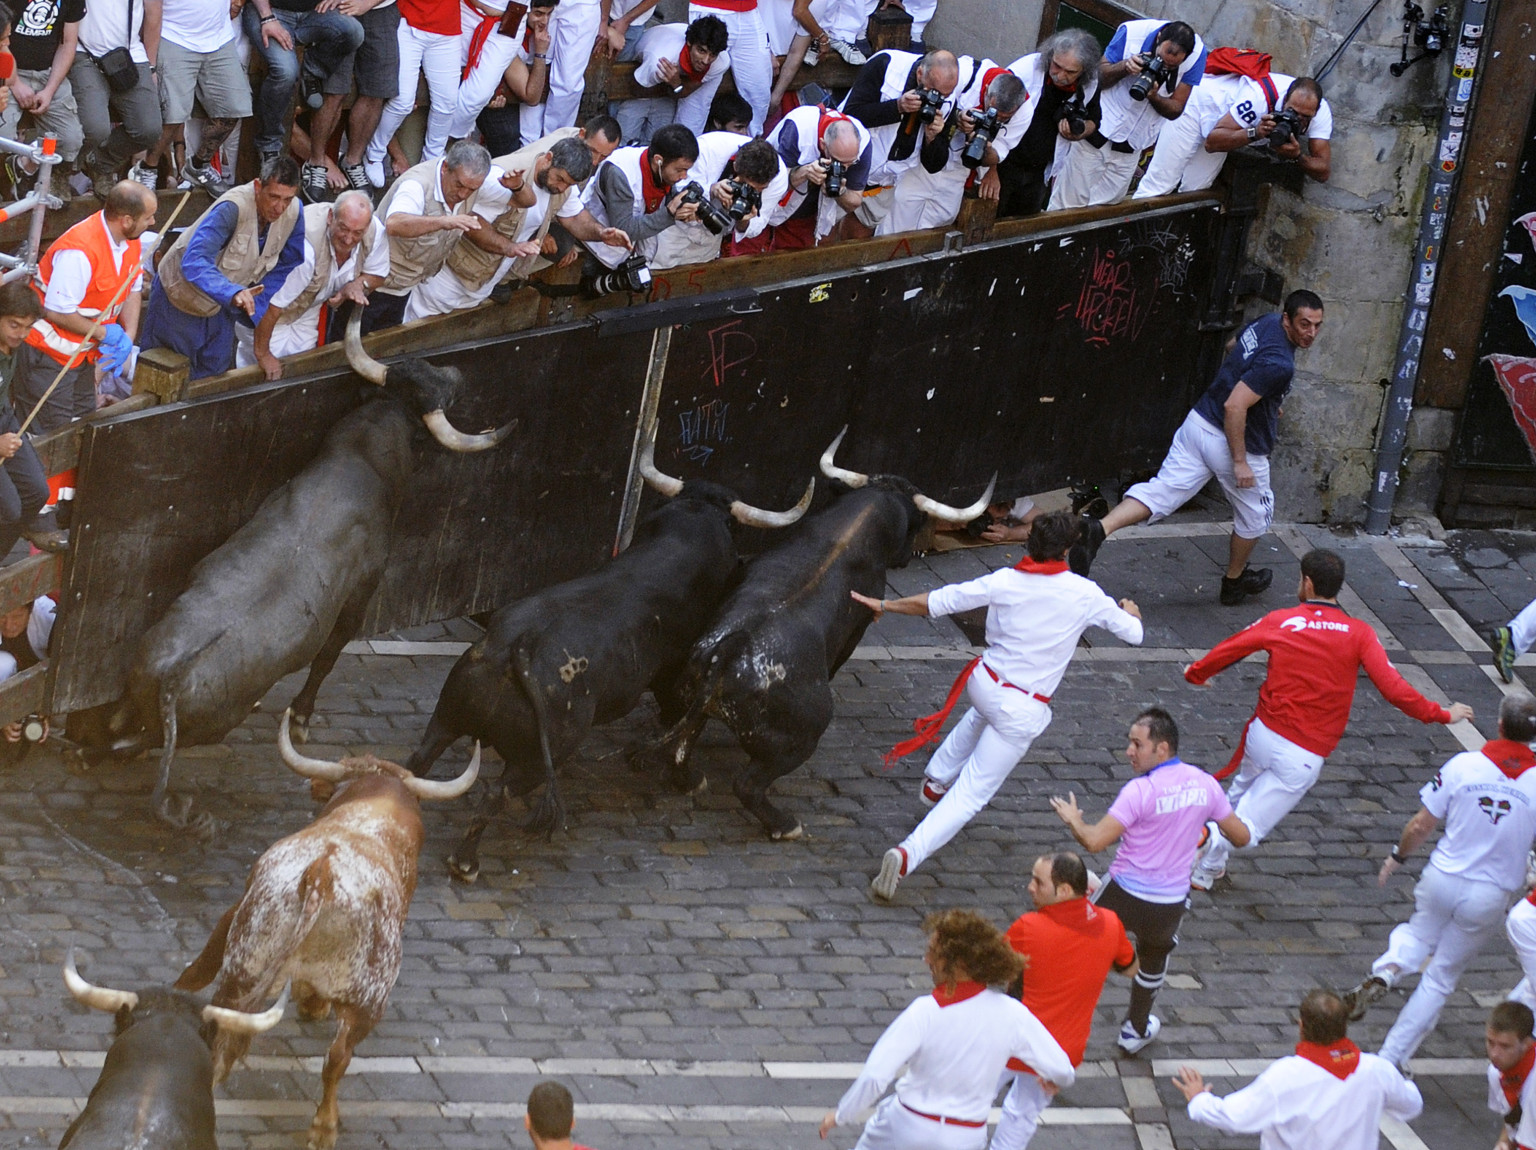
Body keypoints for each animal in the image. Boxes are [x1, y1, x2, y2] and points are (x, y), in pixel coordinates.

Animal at [105, 311, 509, 835]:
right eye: (442, 388)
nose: (458, 372)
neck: (360, 462)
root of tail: (175, 676)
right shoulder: (361, 595)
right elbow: (328, 656)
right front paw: (301, 717)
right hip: (208, 723)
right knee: (129, 744)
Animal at [408, 436, 817, 884]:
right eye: (733, 527)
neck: (680, 541)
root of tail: (515, 648)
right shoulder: (675, 675)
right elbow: (679, 722)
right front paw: (688, 778)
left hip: (449, 714)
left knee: (419, 760)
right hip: (537, 756)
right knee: (494, 793)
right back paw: (465, 861)